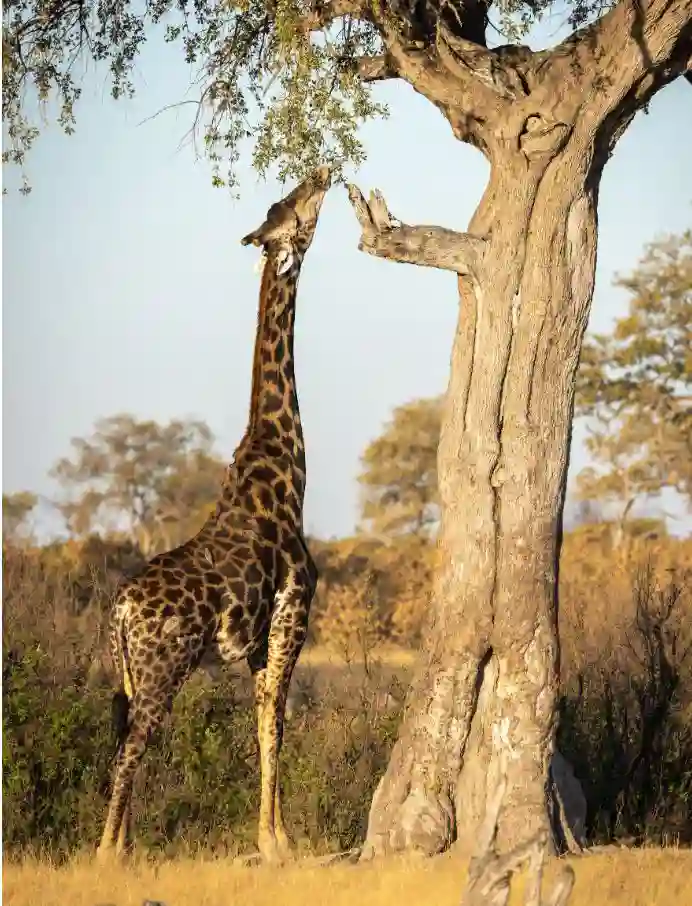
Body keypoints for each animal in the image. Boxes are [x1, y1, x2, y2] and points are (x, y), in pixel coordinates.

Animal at [97, 166, 332, 864]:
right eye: (294, 210)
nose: (320, 171)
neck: (287, 470)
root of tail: (119, 614)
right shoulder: (290, 621)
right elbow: (275, 726)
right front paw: (278, 843)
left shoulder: (255, 645)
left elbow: (262, 727)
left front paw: (273, 838)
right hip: (162, 668)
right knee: (128, 751)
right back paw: (107, 854)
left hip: (131, 674)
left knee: (122, 742)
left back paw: (122, 847)